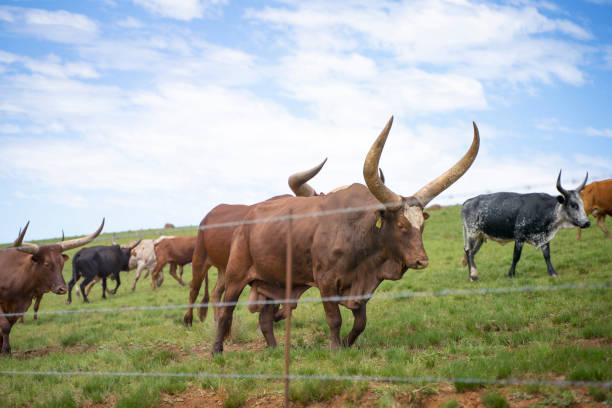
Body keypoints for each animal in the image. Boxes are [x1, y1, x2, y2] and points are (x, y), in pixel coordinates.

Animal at [0, 220, 104, 354]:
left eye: (62, 263)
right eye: (46, 264)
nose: (62, 289)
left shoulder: (18, 307)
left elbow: (8, 326)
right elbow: (5, 326)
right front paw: (6, 350)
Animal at [182, 159, 328, 326]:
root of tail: (208, 215)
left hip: (225, 269)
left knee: (216, 292)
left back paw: (217, 320)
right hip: (199, 259)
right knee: (194, 289)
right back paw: (188, 320)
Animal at [213, 117, 480, 354]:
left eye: (421, 226)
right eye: (401, 225)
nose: (421, 260)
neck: (359, 233)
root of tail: (246, 219)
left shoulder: (361, 287)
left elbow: (360, 323)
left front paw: (345, 344)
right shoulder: (326, 282)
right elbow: (335, 319)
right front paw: (334, 349)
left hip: (272, 283)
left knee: (265, 318)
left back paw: (274, 350)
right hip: (236, 275)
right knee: (225, 311)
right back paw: (217, 351)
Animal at [462, 171, 592, 280]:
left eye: (581, 203)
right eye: (573, 205)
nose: (587, 222)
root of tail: (468, 201)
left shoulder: (544, 237)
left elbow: (547, 255)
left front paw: (553, 273)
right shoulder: (519, 237)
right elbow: (516, 256)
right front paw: (511, 274)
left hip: (480, 237)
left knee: (471, 253)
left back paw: (472, 275)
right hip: (472, 233)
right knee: (468, 251)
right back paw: (472, 276)